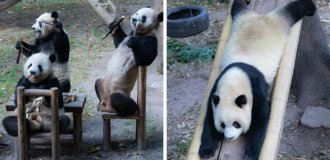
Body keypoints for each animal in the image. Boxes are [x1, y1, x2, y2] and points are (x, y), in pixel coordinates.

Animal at [199, 0, 318, 159]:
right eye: (223, 125)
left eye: (236, 123)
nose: (229, 137)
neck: (234, 78)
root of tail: (259, 17)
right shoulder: (216, 91)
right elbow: (209, 119)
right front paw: (206, 150)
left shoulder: (254, 87)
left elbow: (261, 117)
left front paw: (250, 153)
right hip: (240, 18)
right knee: (237, 6)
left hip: (279, 23)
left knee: (293, 10)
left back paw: (310, 9)